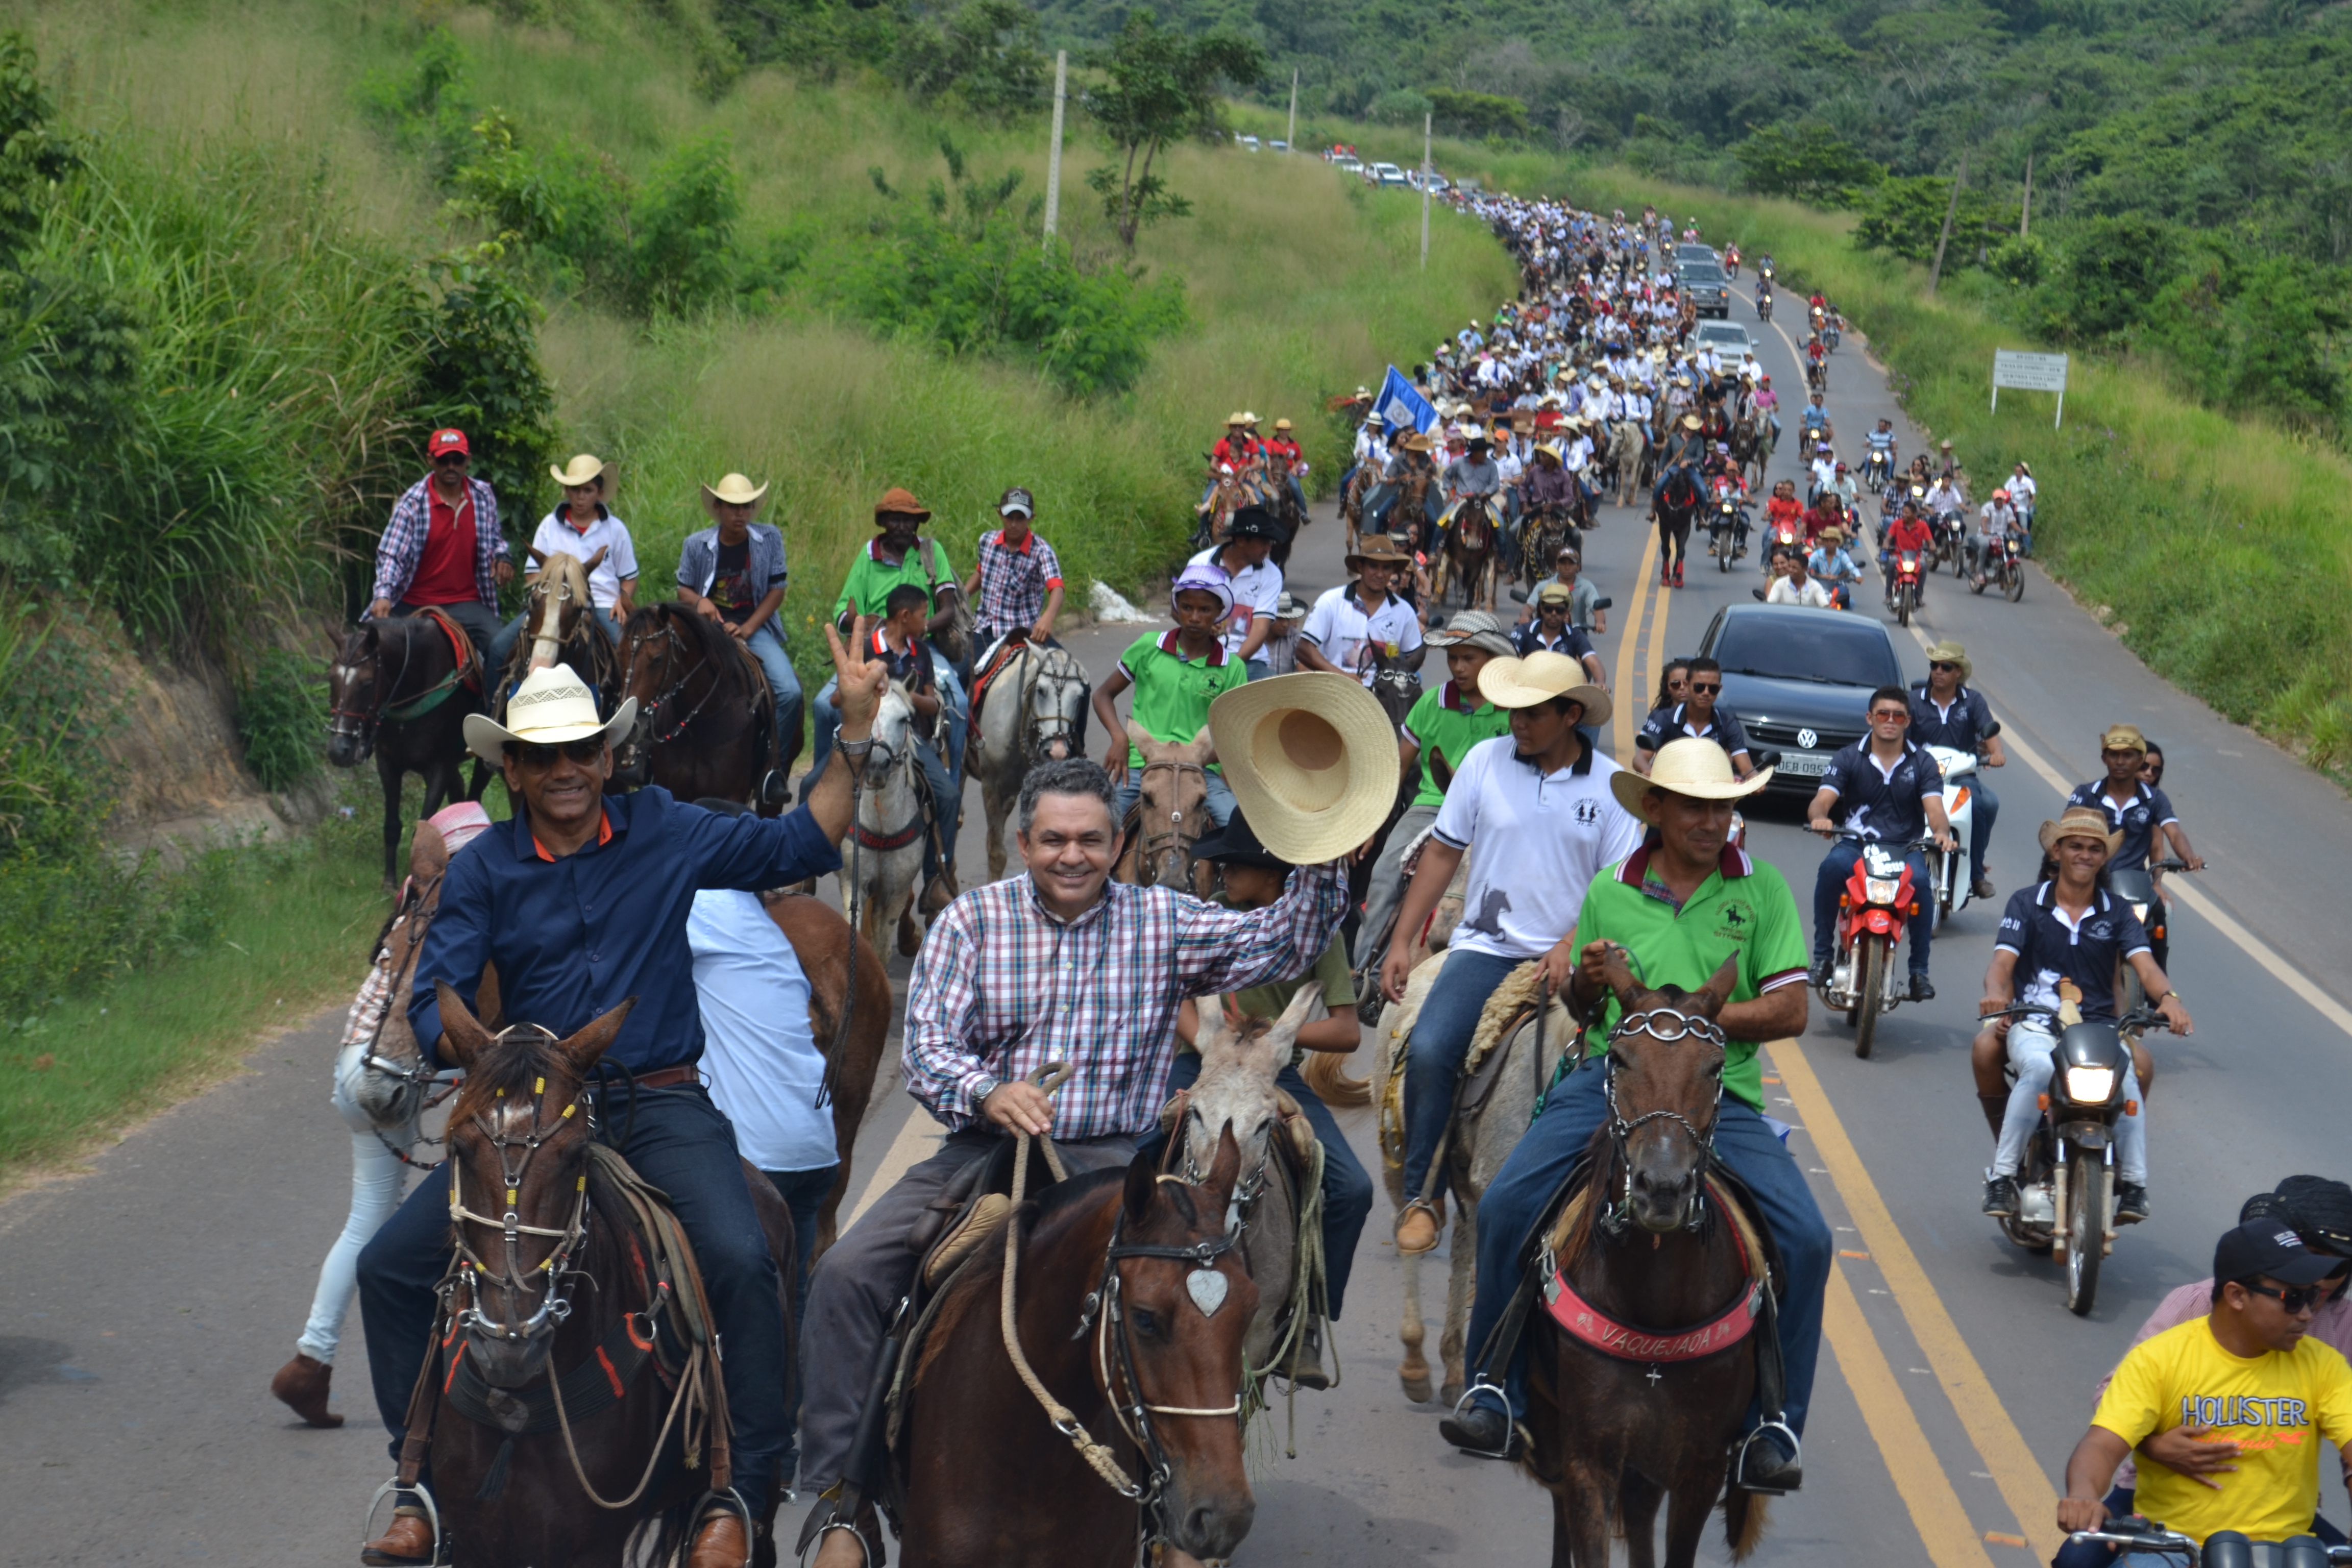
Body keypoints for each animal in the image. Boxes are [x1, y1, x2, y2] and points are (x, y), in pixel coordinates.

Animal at [327, 611, 486, 884]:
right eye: (331, 679)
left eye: (367, 683)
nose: (339, 751)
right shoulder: (388, 764)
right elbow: (392, 825)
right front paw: (390, 880)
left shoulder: (439, 769)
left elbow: (424, 827)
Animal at [414, 992, 799, 1568]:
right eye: (458, 1148)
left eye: (575, 1155)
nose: (508, 1348)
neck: (519, 1408)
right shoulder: (477, 1541)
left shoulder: (591, 1545)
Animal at [1514, 959, 1769, 1568]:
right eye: (1620, 1060)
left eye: (1715, 1067)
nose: (1663, 1188)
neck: (1656, 1304)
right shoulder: (1589, 1458)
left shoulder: (1701, 1466)